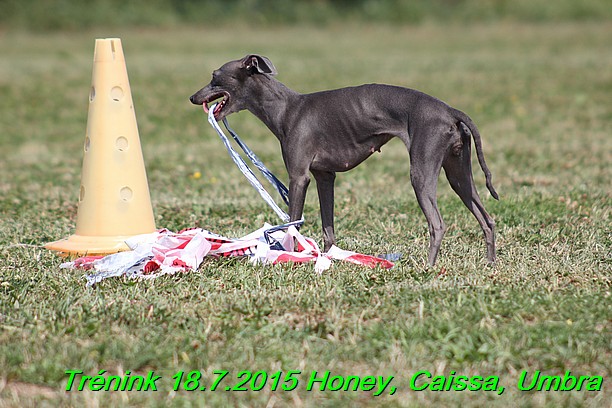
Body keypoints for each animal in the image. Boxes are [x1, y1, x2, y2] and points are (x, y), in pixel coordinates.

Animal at [189, 55, 500, 264]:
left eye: (215, 76)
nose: (193, 97)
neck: (287, 109)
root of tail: (449, 110)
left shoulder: (299, 177)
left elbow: (292, 224)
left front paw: (289, 257)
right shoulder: (325, 178)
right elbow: (328, 228)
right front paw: (329, 258)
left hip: (422, 174)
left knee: (437, 225)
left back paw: (429, 267)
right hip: (458, 175)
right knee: (487, 219)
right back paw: (489, 263)